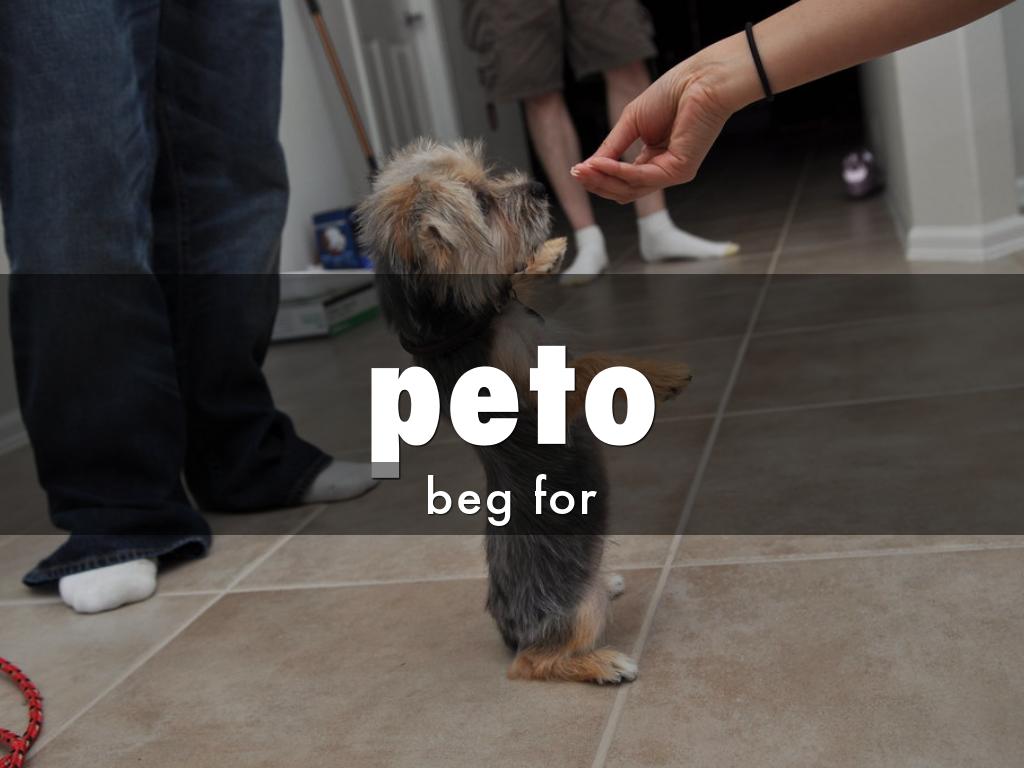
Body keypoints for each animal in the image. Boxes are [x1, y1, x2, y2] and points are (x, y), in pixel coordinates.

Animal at [358, 139, 691, 684]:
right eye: (483, 203)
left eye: (488, 181)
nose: (538, 185)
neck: (462, 327)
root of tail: (508, 629)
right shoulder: (541, 391)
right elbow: (595, 362)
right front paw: (661, 375)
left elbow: (510, 280)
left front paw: (547, 253)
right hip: (572, 611)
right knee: (534, 663)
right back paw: (601, 662)